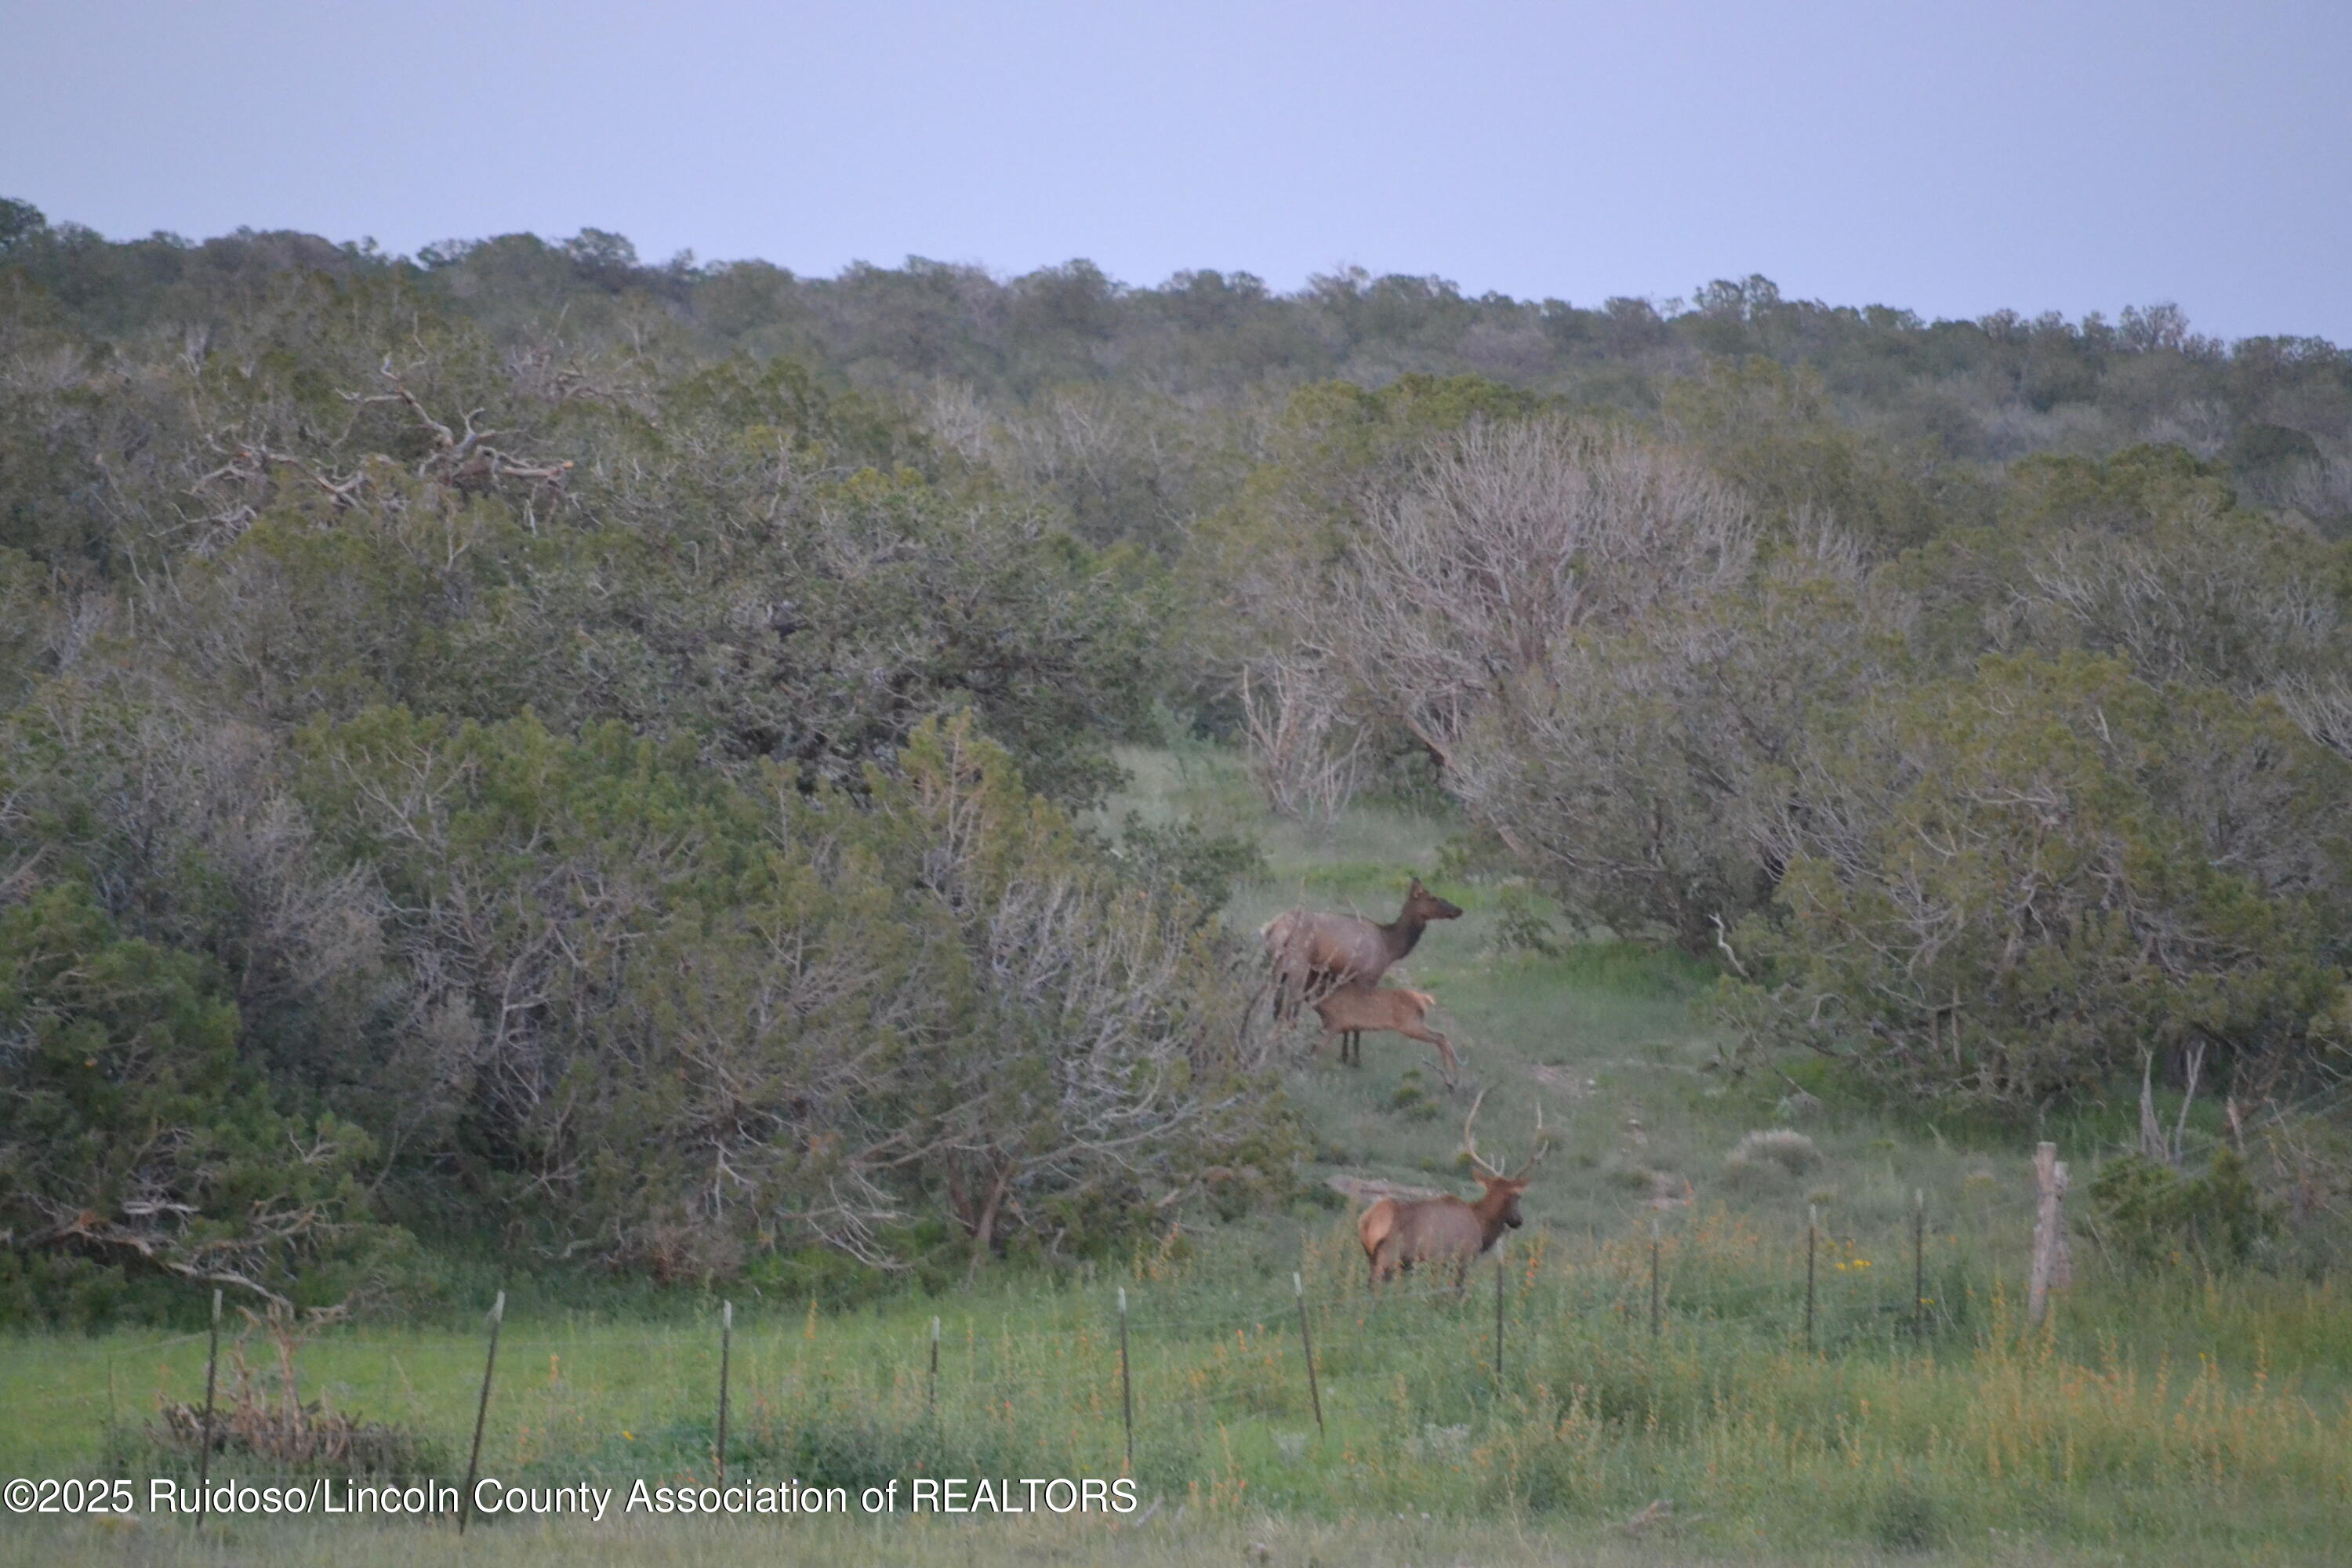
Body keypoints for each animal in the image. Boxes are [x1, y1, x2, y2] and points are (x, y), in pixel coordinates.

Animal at [1261, 879, 1458, 1062]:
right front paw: (1355, 1058)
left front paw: (1345, 1055)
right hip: (1297, 968)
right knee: (1288, 1008)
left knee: (1274, 1004)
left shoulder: (1349, 978)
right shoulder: (1368, 976)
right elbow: (1360, 1015)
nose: (1458, 910)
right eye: (1433, 898)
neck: (1390, 946)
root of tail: (1273, 927)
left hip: (1276, 968)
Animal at [1308, 982, 1449, 1081]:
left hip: (1410, 1025)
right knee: (1442, 1035)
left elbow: (1318, 1047)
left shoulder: (1337, 1023)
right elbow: (1316, 1046)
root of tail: (1424, 999)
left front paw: (1309, 1065)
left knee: (1440, 1038)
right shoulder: (1334, 1025)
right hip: (1417, 1023)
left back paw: (1448, 1077)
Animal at [1355, 1086, 1552, 1298]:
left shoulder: (1437, 1265)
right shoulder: (1462, 1257)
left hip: (1371, 1256)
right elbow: (1457, 1293)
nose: (1518, 1221)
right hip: (1389, 1257)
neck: (1481, 1226)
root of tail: (1367, 1221)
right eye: (1518, 1196)